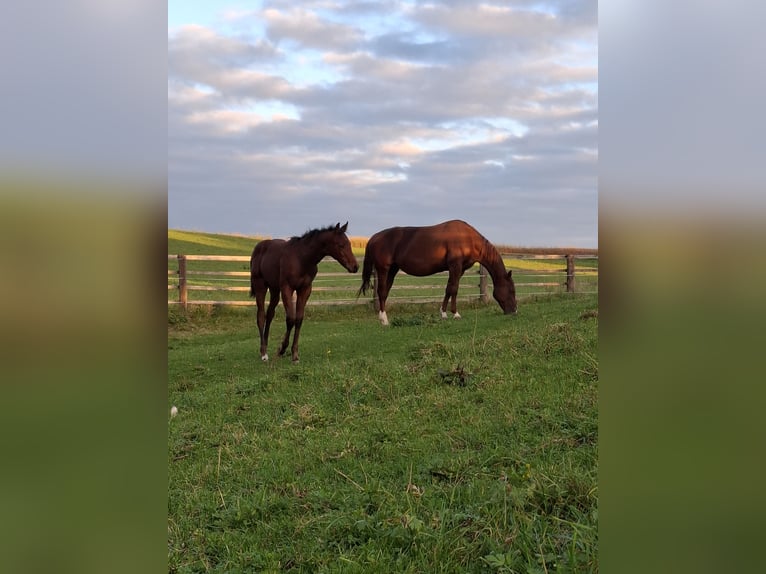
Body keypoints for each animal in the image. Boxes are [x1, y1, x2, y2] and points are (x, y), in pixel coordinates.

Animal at [250, 222, 359, 362]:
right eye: (341, 245)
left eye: (349, 244)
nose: (355, 266)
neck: (301, 258)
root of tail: (258, 247)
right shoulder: (287, 288)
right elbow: (290, 319)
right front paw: (282, 349)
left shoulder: (305, 289)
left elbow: (299, 319)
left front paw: (295, 354)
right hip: (260, 286)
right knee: (261, 316)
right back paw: (263, 353)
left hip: (274, 289)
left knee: (269, 314)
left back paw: (266, 347)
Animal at [357, 220, 517, 325]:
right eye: (511, 290)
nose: (514, 311)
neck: (466, 238)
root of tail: (373, 238)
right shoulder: (455, 266)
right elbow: (454, 289)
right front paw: (455, 314)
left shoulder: (459, 270)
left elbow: (448, 289)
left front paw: (443, 313)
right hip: (383, 269)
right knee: (382, 291)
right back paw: (384, 320)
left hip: (392, 269)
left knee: (385, 292)